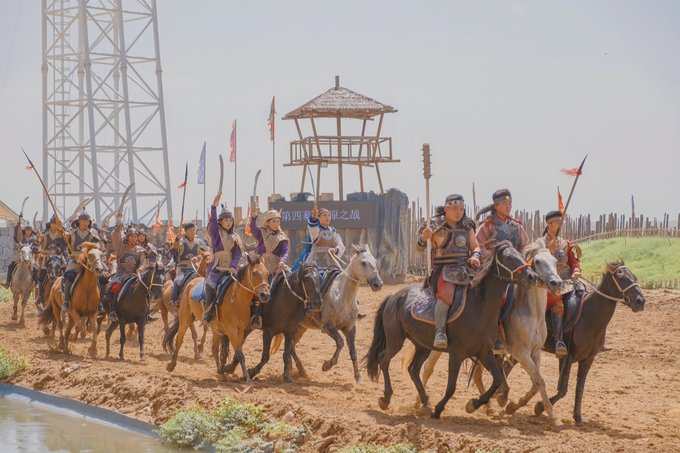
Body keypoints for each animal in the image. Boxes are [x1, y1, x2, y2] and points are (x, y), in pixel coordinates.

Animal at [163, 254, 270, 385]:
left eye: (268, 273)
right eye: (254, 273)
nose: (265, 295)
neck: (236, 299)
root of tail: (191, 282)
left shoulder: (240, 331)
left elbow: (237, 353)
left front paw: (232, 371)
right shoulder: (232, 331)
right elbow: (240, 355)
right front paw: (248, 379)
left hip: (215, 329)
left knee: (214, 349)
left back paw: (221, 372)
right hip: (185, 318)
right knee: (179, 339)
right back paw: (172, 365)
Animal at [270, 244, 383, 384]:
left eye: (374, 261)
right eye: (363, 262)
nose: (378, 284)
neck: (342, 297)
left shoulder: (350, 328)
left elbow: (353, 352)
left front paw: (358, 377)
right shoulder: (327, 326)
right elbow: (340, 342)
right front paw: (327, 365)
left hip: (300, 328)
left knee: (291, 346)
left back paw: (298, 370)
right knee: (290, 346)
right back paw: (298, 370)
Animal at [364, 240, 537, 419]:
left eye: (521, 255)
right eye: (509, 257)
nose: (532, 276)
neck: (478, 307)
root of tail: (393, 297)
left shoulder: (484, 351)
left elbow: (497, 380)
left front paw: (472, 404)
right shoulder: (457, 353)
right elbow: (451, 387)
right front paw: (439, 409)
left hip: (422, 346)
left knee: (413, 369)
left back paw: (425, 402)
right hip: (395, 340)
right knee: (384, 360)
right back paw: (386, 399)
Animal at [532, 261, 645, 425]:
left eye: (634, 277)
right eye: (621, 277)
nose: (640, 301)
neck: (589, 317)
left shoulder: (588, 359)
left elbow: (580, 388)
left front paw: (578, 416)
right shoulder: (567, 357)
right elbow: (563, 389)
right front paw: (540, 407)